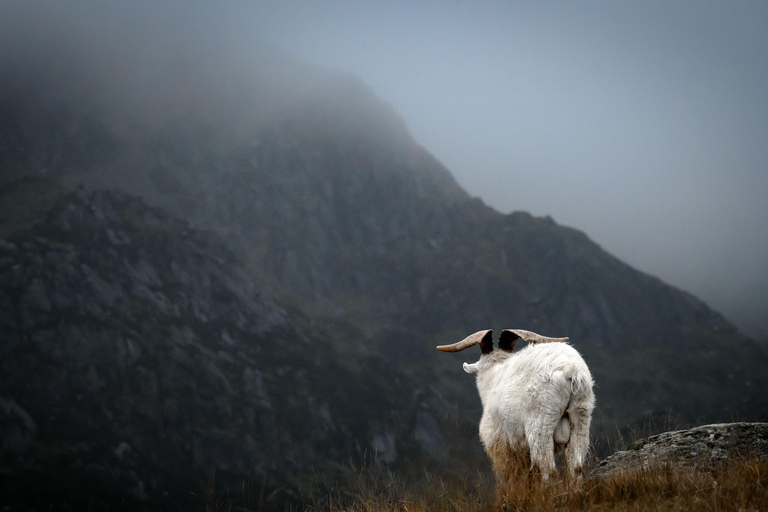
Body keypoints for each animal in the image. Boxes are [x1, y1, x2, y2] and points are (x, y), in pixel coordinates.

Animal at [438, 328, 592, 484]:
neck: (493, 377)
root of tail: (571, 370)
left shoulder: (498, 442)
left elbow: (507, 478)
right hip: (581, 419)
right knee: (575, 467)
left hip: (540, 425)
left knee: (549, 470)